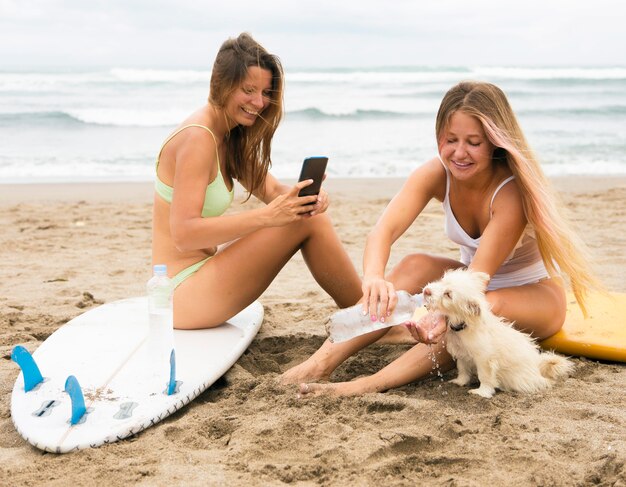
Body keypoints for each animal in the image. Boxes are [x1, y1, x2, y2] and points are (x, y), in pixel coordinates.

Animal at [422, 268, 572, 398]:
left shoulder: (484, 359)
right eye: (442, 280)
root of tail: (539, 367)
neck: (464, 326)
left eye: (448, 295)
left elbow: (485, 377)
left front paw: (482, 392)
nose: (426, 291)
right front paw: (460, 382)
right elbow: (463, 369)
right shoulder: (462, 354)